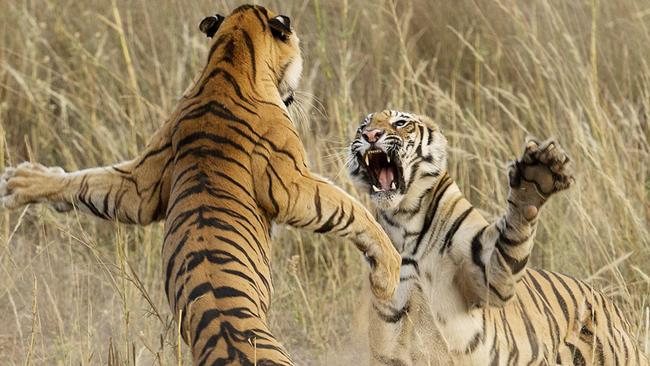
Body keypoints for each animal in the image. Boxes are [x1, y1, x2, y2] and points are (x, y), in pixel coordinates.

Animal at [0, 6, 400, 366]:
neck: (229, 59)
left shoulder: (141, 185)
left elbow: (88, 181)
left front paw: (21, 182)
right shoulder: (292, 184)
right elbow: (351, 209)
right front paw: (388, 271)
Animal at [346, 110, 644, 366]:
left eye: (400, 123)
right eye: (363, 126)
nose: (370, 135)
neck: (405, 218)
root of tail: (609, 303)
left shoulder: (488, 274)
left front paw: (534, 178)